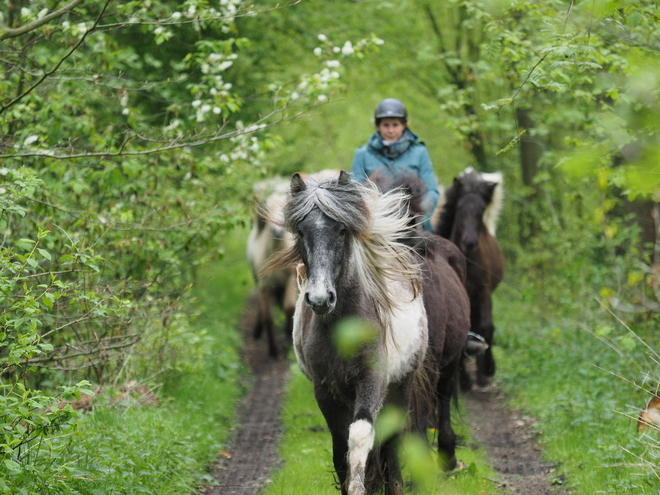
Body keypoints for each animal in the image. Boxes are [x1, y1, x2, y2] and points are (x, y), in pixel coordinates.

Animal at [268, 171, 470, 495]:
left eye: (341, 230)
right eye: (300, 231)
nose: (320, 299)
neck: (344, 330)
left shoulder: (372, 381)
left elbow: (361, 436)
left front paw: (360, 487)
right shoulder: (325, 390)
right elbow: (341, 448)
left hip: (406, 383)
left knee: (397, 436)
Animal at [438, 170, 506, 392]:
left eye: (482, 209)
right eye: (460, 208)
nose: (469, 243)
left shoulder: (483, 290)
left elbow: (486, 326)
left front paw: (485, 372)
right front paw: (465, 380)